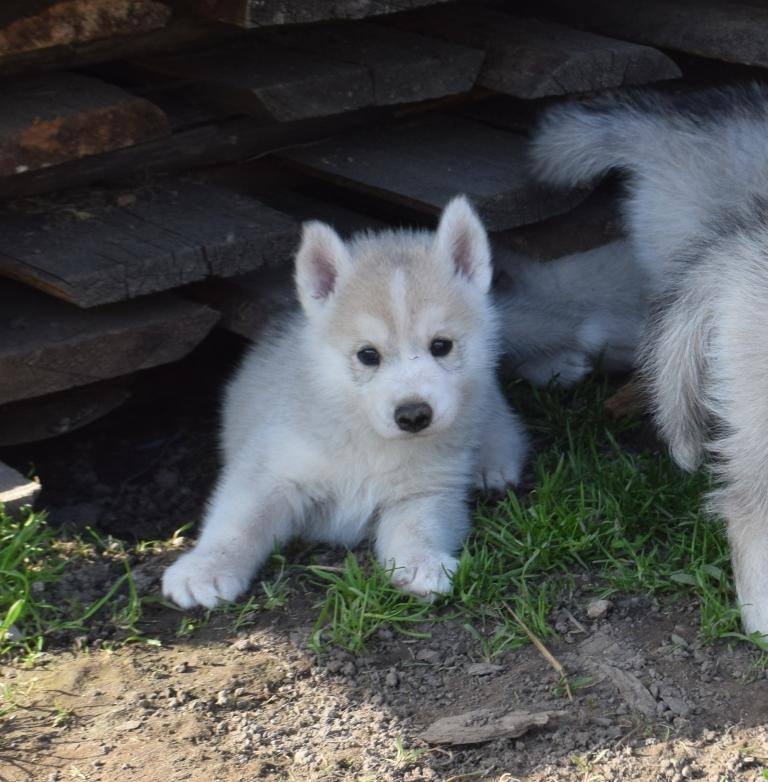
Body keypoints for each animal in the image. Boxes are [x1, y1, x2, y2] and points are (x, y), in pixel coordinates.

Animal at [159, 198, 524, 612]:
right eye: (368, 354)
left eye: (441, 345)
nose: (413, 415)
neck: (369, 442)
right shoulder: (270, 472)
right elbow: (237, 525)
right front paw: (204, 568)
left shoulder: (427, 491)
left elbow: (419, 528)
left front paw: (422, 564)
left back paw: (494, 462)